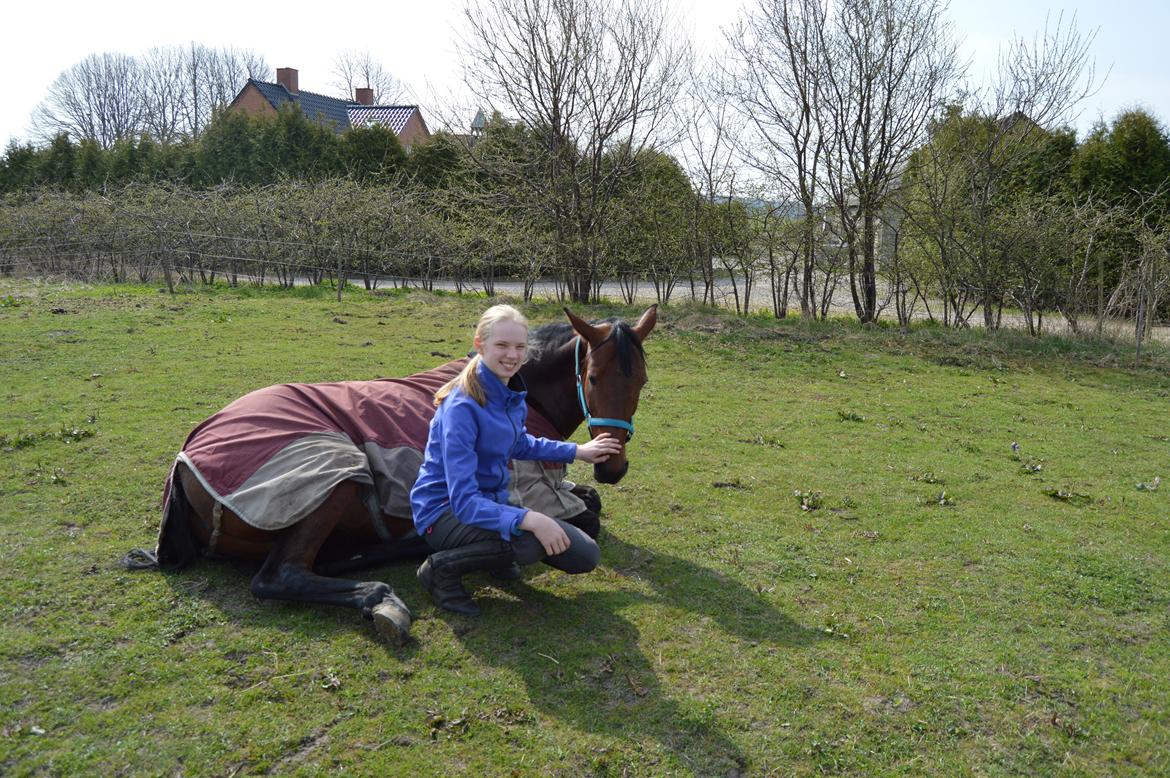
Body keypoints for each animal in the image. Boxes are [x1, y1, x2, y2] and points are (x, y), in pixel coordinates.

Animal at [140, 304, 655, 641]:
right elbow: (587, 518)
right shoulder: (536, 495)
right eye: (592, 378)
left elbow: (590, 500)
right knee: (278, 577)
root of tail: (185, 459)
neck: (517, 390)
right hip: (333, 475)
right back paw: (382, 594)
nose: (613, 467)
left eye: (643, 381)